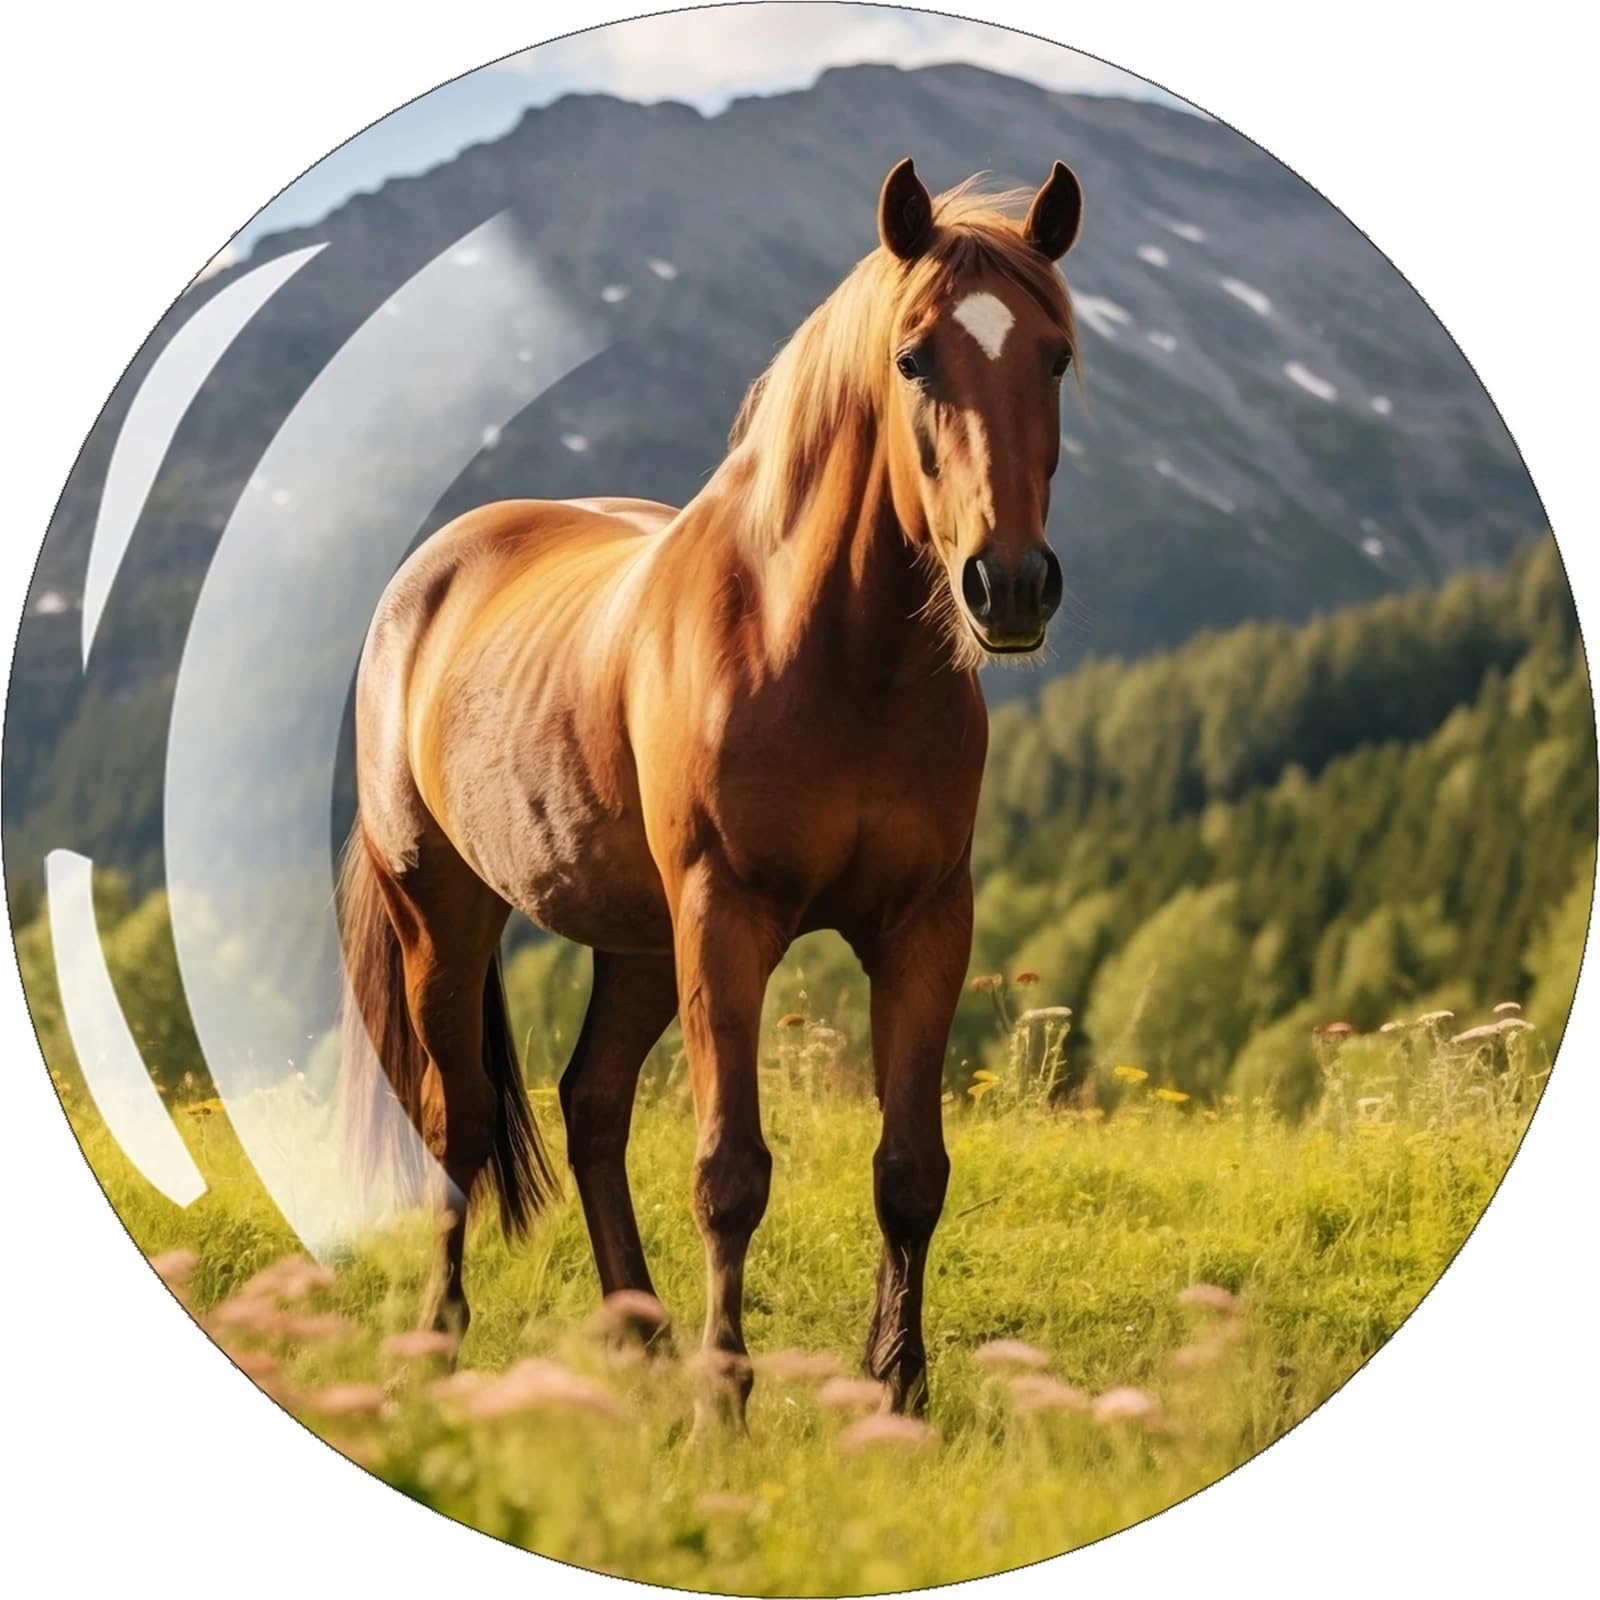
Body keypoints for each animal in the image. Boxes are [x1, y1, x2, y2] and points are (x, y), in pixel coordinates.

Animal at [338, 155, 1083, 1417]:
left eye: (1057, 355)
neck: (828, 649)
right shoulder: (725, 919)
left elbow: (909, 1170)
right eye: (913, 358)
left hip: (639, 942)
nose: (1012, 584)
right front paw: (720, 1403)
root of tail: (423, 580)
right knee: (458, 1117)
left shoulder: (925, 923)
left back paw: (635, 1333)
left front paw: (898, 1393)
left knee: (590, 1107)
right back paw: (441, 1338)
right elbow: (730, 1172)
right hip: (446, 909)